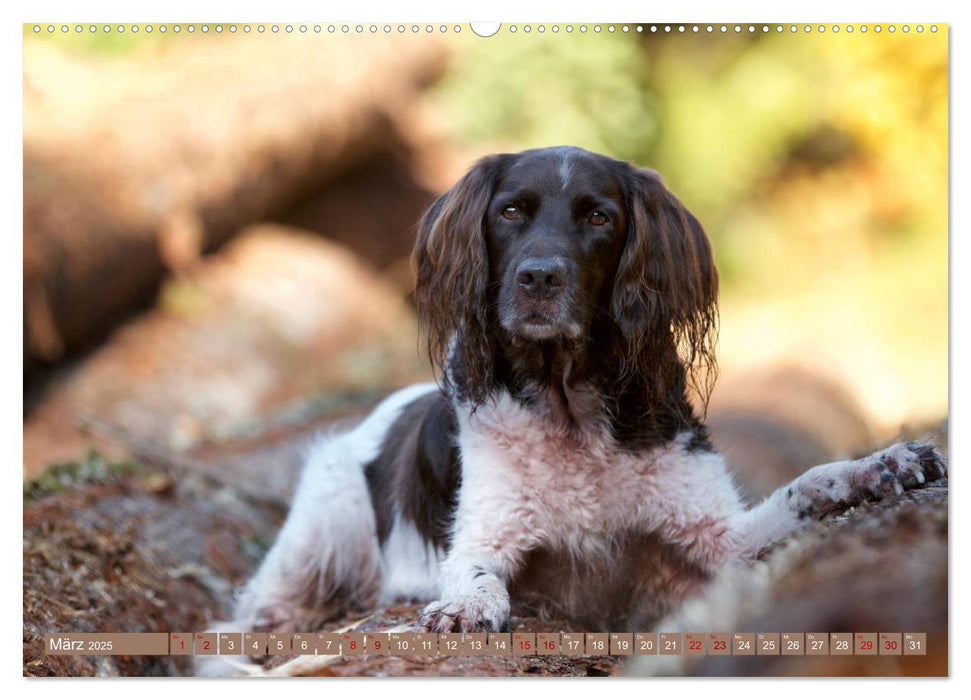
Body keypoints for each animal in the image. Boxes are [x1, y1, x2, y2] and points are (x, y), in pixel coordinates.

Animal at [232, 148, 944, 640]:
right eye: (510, 212)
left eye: (599, 217)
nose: (538, 278)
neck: (568, 406)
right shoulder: (488, 534)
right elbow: (476, 573)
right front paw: (464, 607)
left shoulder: (721, 542)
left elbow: (809, 484)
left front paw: (885, 464)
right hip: (313, 542)